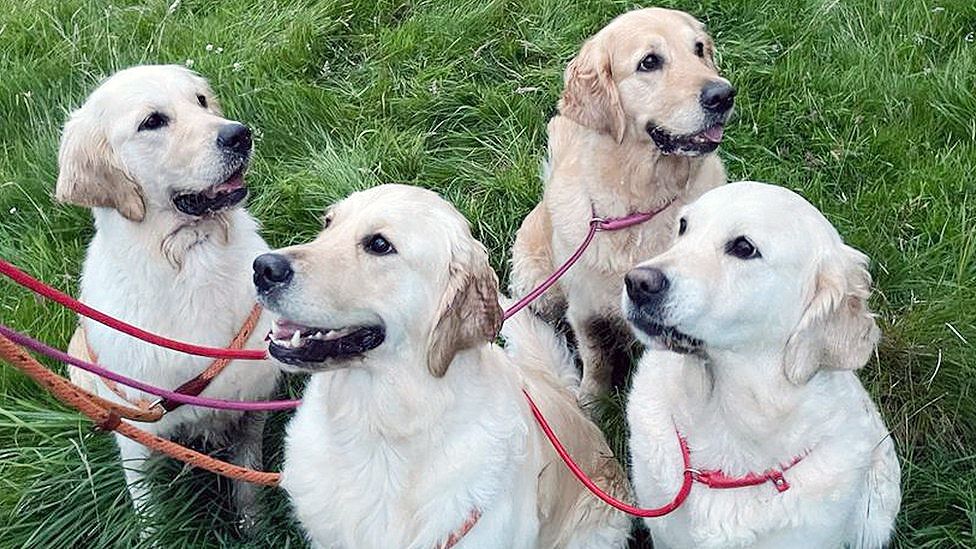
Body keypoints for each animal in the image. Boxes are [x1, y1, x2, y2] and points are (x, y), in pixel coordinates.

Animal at [56, 64, 278, 528]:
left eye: (201, 101)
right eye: (153, 122)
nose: (239, 135)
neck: (189, 256)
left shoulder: (252, 405)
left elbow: (248, 484)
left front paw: (254, 528)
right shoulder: (138, 437)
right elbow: (150, 514)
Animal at [510, 6, 732, 404]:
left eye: (699, 49)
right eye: (649, 62)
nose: (724, 94)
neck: (638, 208)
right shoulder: (585, 311)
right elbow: (596, 360)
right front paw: (590, 404)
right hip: (539, 284)